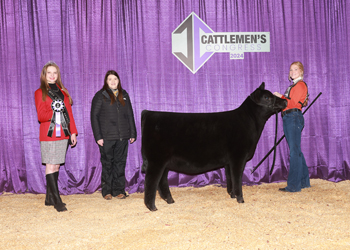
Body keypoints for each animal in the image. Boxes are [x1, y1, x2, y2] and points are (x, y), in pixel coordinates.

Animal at [139, 82, 288, 211]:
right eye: (267, 97)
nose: (285, 101)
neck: (251, 123)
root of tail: (148, 112)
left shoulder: (228, 162)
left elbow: (230, 178)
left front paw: (232, 195)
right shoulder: (238, 157)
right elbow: (237, 178)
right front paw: (240, 199)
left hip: (164, 162)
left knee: (162, 181)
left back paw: (169, 200)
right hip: (156, 160)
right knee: (151, 181)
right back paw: (152, 207)